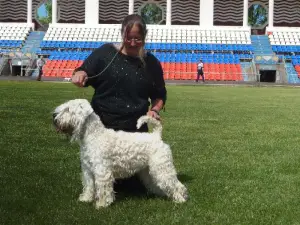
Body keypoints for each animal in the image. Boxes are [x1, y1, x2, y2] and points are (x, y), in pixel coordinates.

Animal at [52, 99, 186, 208]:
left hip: (161, 168)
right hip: (148, 170)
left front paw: (101, 204)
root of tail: (156, 136)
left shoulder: (102, 171)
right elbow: (89, 186)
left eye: (68, 109)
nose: (54, 118)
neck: (93, 136)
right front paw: (85, 199)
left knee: (176, 184)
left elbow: (103, 189)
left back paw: (180, 199)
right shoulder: (87, 170)